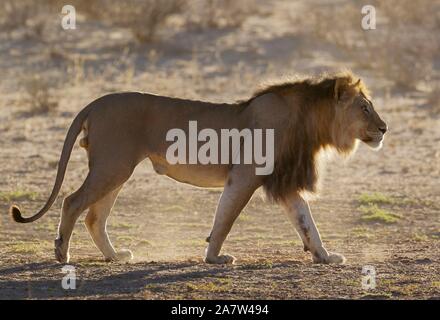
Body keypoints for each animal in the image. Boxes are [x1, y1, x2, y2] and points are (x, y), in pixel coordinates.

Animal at [9, 71, 388, 264]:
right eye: (365, 107)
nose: (385, 128)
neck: (310, 122)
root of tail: (96, 102)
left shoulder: (284, 181)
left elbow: (306, 222)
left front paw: (325, 256)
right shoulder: (246, 175)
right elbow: (225, 219)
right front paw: (213, 258)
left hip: (116, 169)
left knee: (93, 216)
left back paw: (116, 256)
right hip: (113, 166)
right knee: (72, 202)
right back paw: (62, 254)